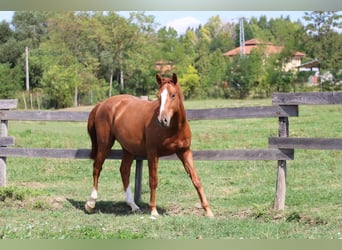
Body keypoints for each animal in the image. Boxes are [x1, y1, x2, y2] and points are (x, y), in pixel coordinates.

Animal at [85, 73, 214, 218]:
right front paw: (153, 211)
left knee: (124, 171)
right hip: (105, 144)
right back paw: (91, 203)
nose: (162, 120)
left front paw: (208, 211)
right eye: (158, 96)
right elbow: (153, 181)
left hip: (128, 149)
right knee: (97, 167)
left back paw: (133, 206)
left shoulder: (184, 152)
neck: (174, 129)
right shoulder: (153, 154)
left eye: (173, 95)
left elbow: (196, 179)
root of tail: (102, 104)